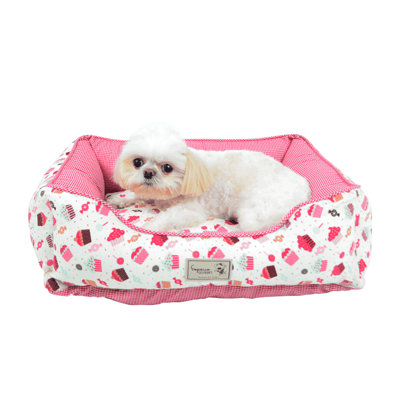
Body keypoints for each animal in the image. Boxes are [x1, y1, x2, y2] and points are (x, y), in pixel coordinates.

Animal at [108, 123, 311, 232]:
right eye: (137, 162)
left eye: (167, 168)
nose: (148, 173)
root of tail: (305, 189)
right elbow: (136, 193)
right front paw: (119, 199)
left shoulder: (190, 210)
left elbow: (165, 219)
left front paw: (149, 227)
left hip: (255, 215)